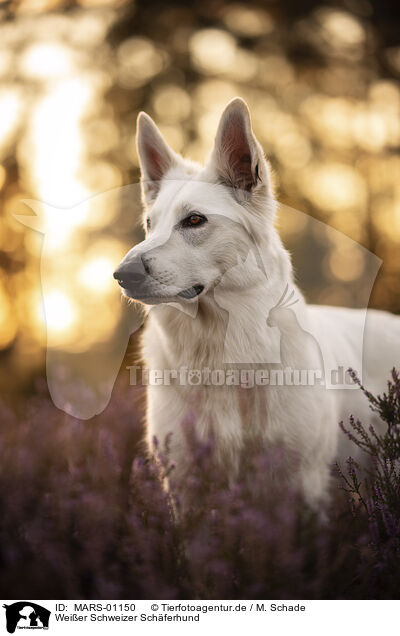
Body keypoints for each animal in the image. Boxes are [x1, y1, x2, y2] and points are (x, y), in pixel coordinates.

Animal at [113, 98, 400, 506]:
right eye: (150, 224)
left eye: (195, 220)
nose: (123, 275)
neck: (219, 347)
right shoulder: (185, 483)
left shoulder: (301, 484)